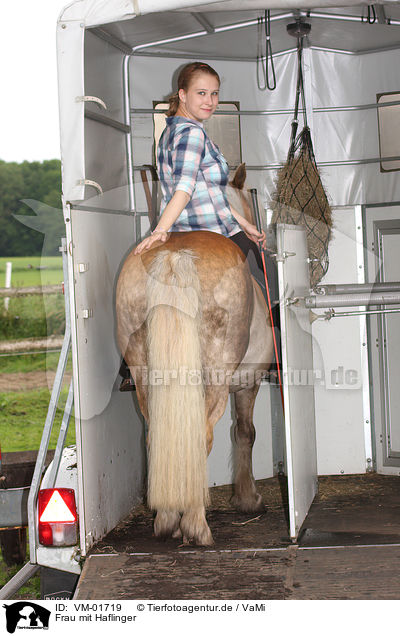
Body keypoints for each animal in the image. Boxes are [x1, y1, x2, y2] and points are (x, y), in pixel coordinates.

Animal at [114, 174, 274, 548]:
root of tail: (174, 256)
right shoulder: (248, 384)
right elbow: (245, 432)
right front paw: (248, 499)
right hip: (213, 378)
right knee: (202, 436)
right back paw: (195, 525)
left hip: (146, 377)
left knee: (157, 438)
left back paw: (166, 518)